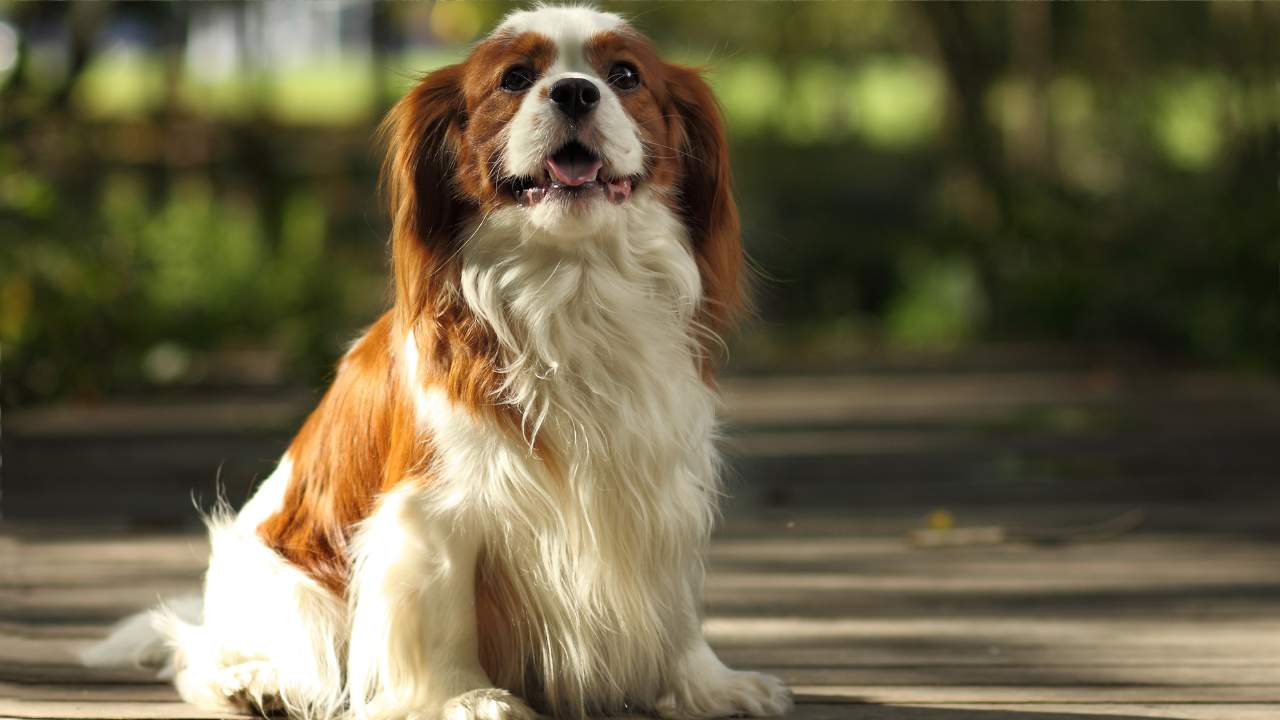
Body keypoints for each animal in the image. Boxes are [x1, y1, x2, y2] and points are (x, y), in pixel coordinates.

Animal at [82, 5, 788, 717]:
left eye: (625, 76)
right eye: (514, 79)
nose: (574, 91)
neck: (574, 283)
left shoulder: (661, 489)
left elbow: (677, 605)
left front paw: (708, 684)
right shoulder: (430, 514)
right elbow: (443, 613)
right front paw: (465, 696)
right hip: (287, 590)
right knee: (198, 657)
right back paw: (256, 683)